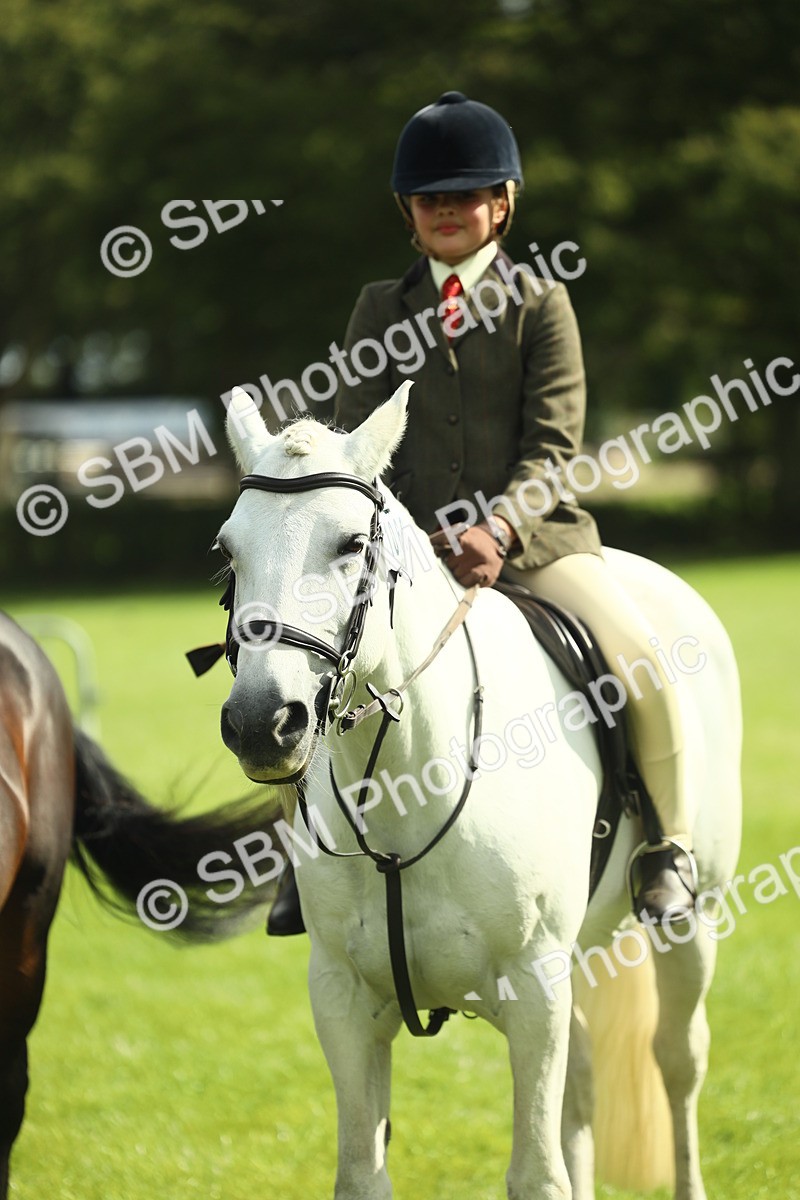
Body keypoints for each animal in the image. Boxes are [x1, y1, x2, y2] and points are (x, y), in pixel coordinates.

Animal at [214, 382, 742, 1200]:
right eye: (228, 550)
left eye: (350, 545)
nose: (261, 724)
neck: (406, 787)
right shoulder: (343, 1000)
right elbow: (362, 1175)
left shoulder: (534, 993)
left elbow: (537, 1176)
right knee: (584, 1086)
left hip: (690, 922)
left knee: (678, 1060)